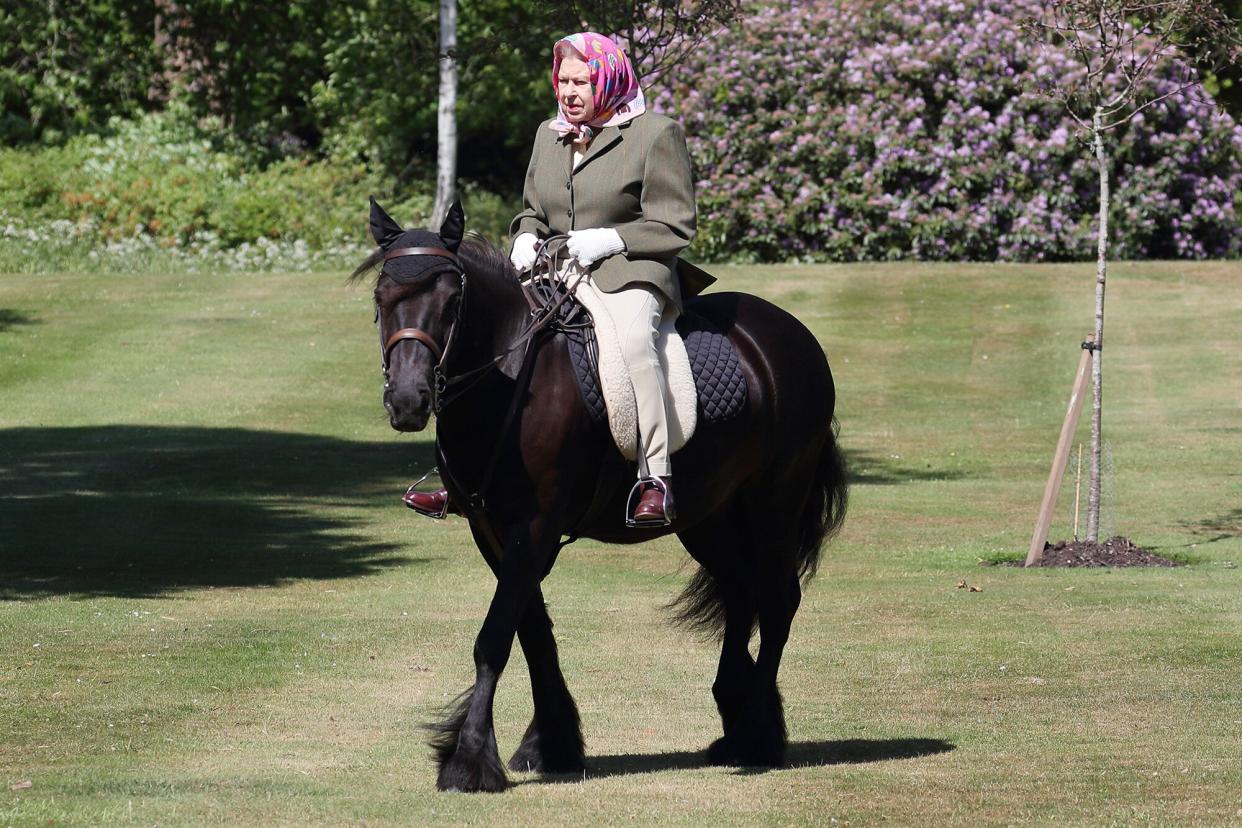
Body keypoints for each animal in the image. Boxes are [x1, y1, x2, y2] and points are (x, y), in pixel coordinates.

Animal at [355, 198, 849, 789]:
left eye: (452, 301)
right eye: (382, 299)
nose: (408, 401)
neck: (510, 376)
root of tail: (789, 335)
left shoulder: (535, 527)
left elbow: (495, 638)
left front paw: (469, 759)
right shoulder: (492, 530)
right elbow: (533, 633)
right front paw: (551, 743)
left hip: (774, 501)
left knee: (776, 601)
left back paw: (756, 735)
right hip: (708, 515)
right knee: (740, 591)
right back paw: (736, 721)